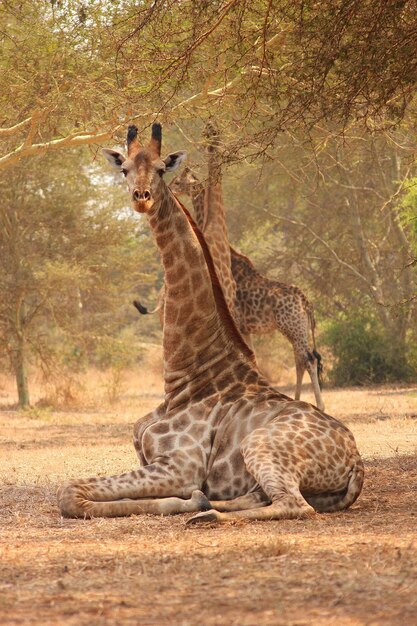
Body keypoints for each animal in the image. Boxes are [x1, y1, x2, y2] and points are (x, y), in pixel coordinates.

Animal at [57, 122, 362, 520]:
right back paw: (209, 504)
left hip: (261, 443)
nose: (141, 197)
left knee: (294, 504)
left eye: (161, 169)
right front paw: (190, 499)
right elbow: (75, 491)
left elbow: (69, 492)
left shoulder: (180, 465)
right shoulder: (151, 461)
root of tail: (357, 462)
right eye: (123, 169)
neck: (183, 379)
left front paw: (189, 501)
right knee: (262, 496)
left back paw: (207, 514)